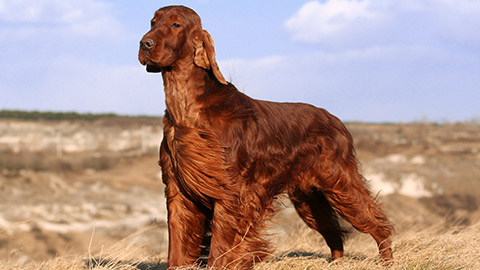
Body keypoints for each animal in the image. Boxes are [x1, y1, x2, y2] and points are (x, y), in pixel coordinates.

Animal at [139, 5, 394, 268]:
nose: (144, 43)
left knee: (378, 223)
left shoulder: (230, 194)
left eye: (176, 25)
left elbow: (220, 250)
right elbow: (177, 247)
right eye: (153, 22)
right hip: (309, 198)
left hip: (340, 185)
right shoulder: (177, 190)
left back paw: (387, 260)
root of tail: (336, 120)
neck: (186, 110)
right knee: (334, 234)